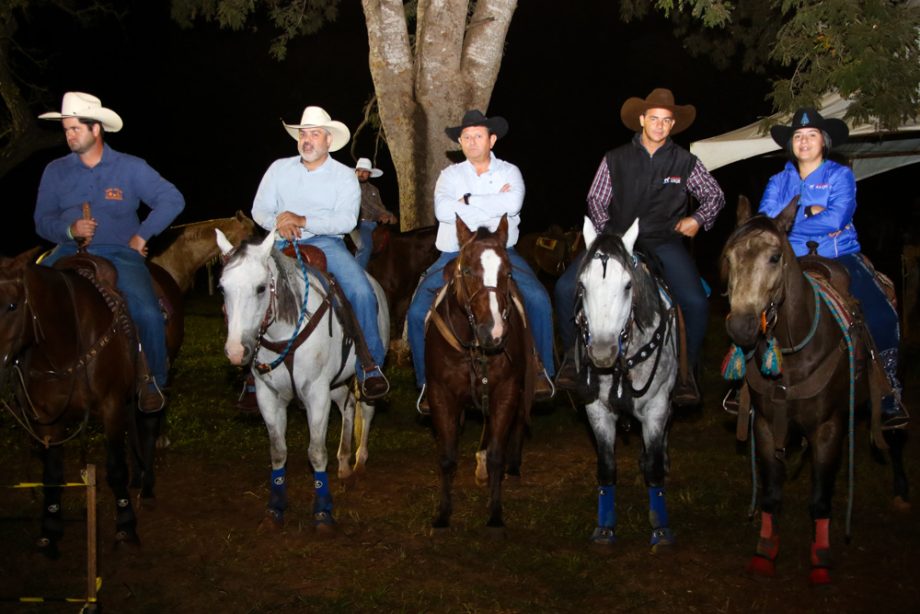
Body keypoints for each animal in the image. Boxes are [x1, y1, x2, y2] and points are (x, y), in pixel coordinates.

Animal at [0, 248, 150, 560]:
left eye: (12, 306)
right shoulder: (47, 418)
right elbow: (52, 473)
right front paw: (50, 529)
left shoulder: (112, 407)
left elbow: (116, 468)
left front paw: (126, 527)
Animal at [217, 229, 388, 532]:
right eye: (222, 289)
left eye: (261, 288)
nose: (236, 351)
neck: (283, 333)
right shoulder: (268, 396)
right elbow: (277, 452)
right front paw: (274, 509)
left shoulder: (316, 394)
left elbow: (317, 453)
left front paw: (322, 513)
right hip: (336, 384)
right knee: (347, 408)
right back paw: (344, 463)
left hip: (365, 373)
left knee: (366, 410)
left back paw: (359, 463)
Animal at [424, 217, 532, 536]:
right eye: (468, 270)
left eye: (507, 272)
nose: (493, 333)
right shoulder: (440, 395)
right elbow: (447, 457)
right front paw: (442, 515)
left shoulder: (506, 391)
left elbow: (497, 453)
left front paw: (495, 515)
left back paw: (512, 467)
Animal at [580, 218, 680, 552]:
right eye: (582, 286)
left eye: (627, 285)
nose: (601, 352)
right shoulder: (596, 409)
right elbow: (607, 468)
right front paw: (605, 528)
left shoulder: (657, 406)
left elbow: (654, 470)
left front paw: (661, 531)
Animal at [720, 197, 900, 588]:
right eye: (729, 257)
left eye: (775, 257)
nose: (741, 327)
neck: (792, 355)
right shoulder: (766, 426)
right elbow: (771, 496)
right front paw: (765, 553)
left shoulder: (828, 428)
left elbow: (820, 499)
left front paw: (820, 559)